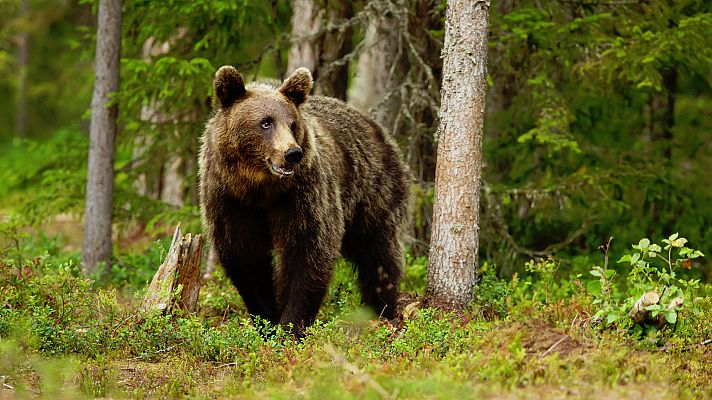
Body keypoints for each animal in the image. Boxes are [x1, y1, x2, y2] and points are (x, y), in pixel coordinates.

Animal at [199, 65, 409, 334]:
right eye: (265, 122)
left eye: (292, 124)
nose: (292, 153)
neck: (260, 188)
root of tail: (373, 124)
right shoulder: (229, 200)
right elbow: (246, 258)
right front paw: (267, 321)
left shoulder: (302, 196)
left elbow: (308, 252)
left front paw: (290, 326)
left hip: (373, 190)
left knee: (378, 253)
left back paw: (381, 309)